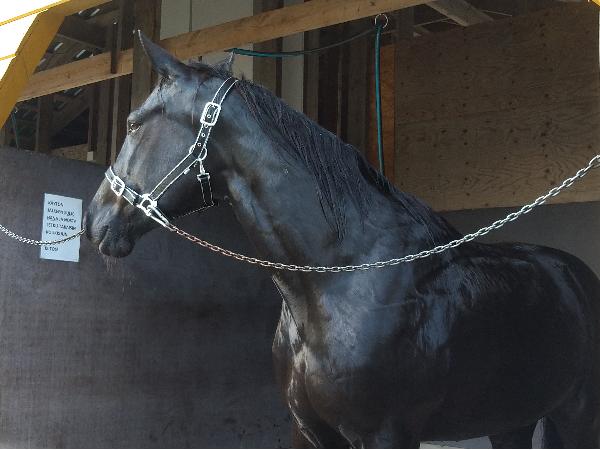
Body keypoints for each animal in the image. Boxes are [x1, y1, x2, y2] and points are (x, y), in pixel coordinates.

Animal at [85, 34, 600, 448]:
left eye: (133, 123)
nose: (93, 219)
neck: (339, 280)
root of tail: (578, 276)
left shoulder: (386, 435)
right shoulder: (308, 430)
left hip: (576, 416)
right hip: (511, 420)